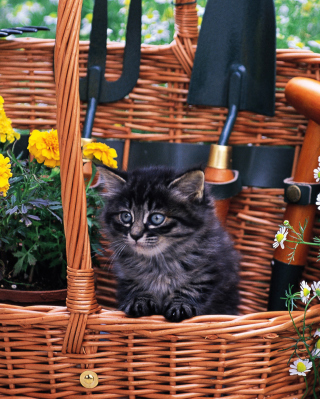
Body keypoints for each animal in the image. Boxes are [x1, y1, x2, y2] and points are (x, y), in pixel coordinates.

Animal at [99, 166, 239, 322]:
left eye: (157, 218)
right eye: (126, 216)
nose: (135, 235)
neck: (159, 261)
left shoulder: (210, 268)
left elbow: (192, 287)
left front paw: (180, 305)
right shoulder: (126, 274)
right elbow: (136, 286)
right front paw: (139, 301)